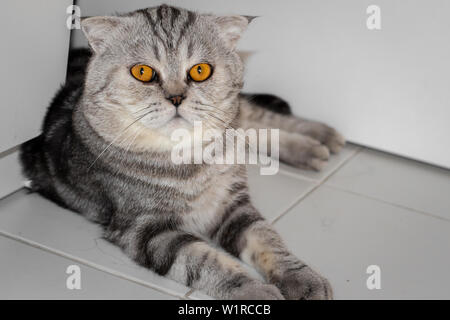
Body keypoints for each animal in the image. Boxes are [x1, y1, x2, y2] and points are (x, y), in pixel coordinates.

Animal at [19, 5, 344, 300]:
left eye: (200, 70)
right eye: (143, 72)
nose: (176, 97)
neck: (188, 158)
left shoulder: (232, 204)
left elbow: (269, 240)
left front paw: (303, 278)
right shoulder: (146, 230)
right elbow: (207, 263)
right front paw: (257, 291)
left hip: (235, 114)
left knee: (260, 120)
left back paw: (321, 139)